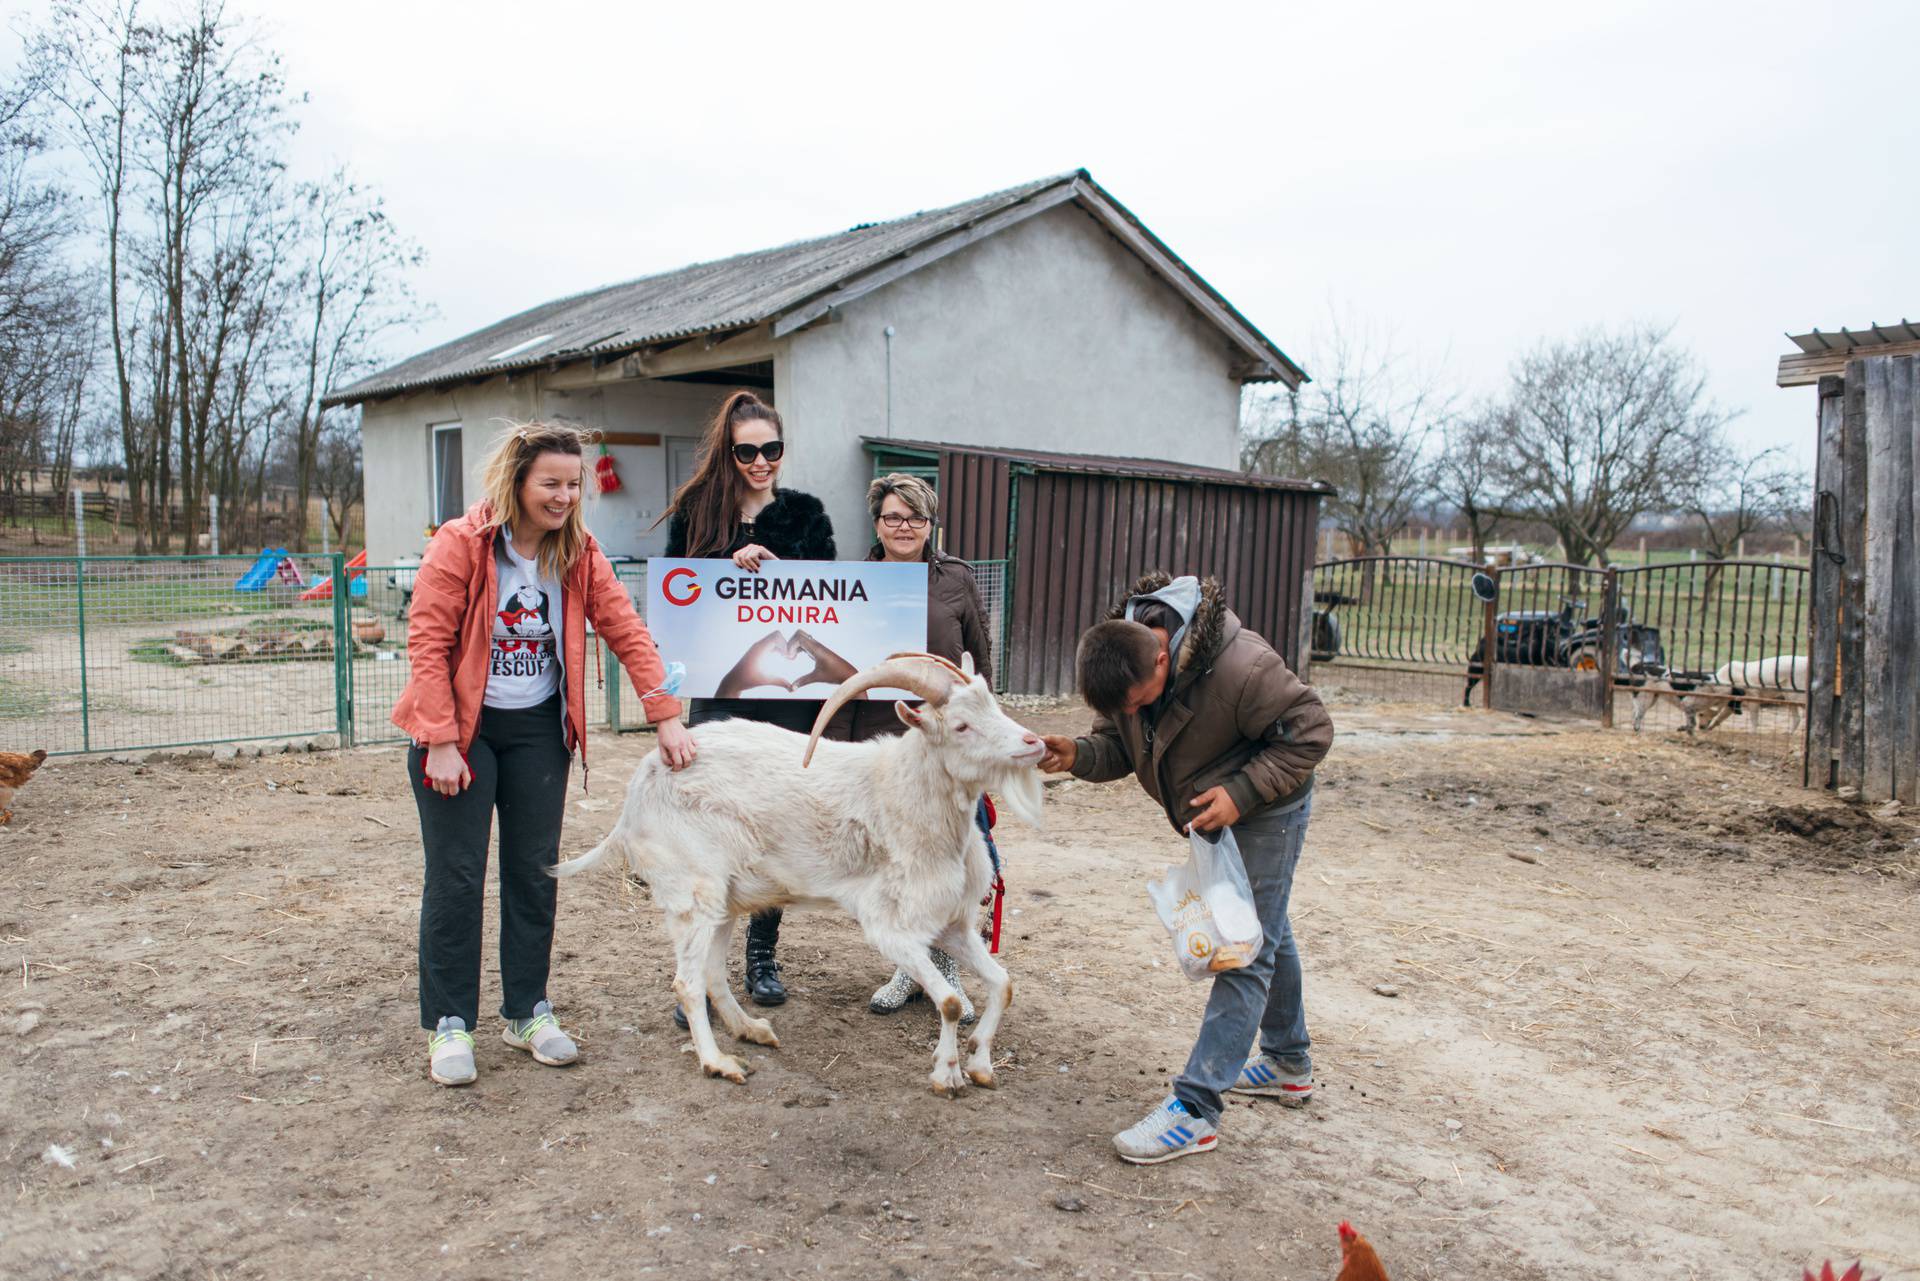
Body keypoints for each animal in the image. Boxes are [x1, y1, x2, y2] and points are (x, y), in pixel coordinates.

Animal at [549, 656, 1044, 1098]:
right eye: (961, 726)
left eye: (994, 707)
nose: (1034, 743)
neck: (899, 794)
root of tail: (635, 795)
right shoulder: (891, 929)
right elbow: (951, 1001)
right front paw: (948, 1075)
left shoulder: (952, 926)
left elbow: (1003, 985)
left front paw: (981, 1066)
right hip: (694, 894)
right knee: (687, 983)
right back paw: (719, 1063)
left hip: (724, 899)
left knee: (711, 973)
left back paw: (752, 1030)